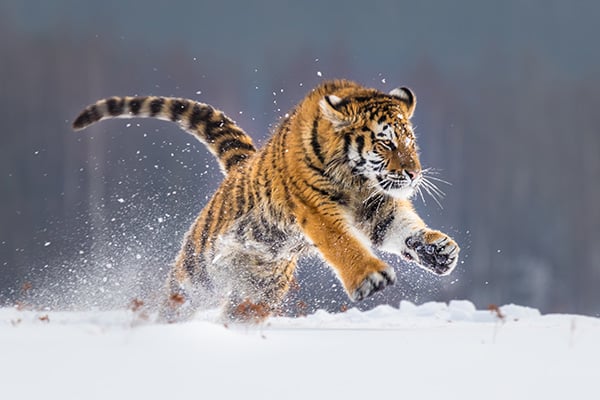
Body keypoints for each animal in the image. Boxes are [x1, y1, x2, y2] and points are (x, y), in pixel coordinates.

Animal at [74, 78, 460, 322]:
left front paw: (439, 250)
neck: (356, 179)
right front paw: (370, 277)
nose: (414, 173)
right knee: (175, 304)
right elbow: (342, 242)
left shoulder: (377, 205)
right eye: (385, 143)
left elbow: (403, 228)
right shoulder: (316, 207)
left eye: (410, 142)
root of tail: (239, 166)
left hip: (257, 293)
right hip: (197, 274)